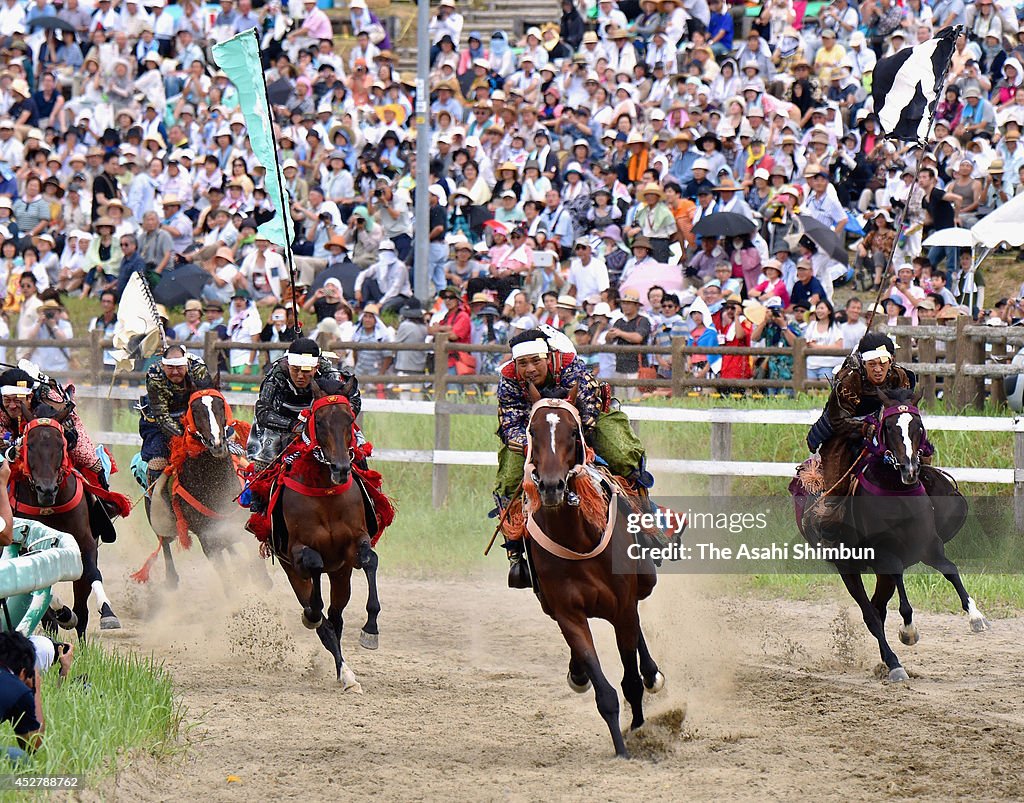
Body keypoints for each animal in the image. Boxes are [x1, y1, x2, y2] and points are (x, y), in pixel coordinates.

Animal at [10, 405, 119, 635]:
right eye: (29, 445)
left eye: (61, 444)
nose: (46, 489)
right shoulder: (26, 546)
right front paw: (62, 613)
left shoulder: (85, 542)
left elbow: (92, 573)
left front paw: (107, 613)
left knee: (81, 607)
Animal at [140, 385, 268, 585]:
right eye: (195, 412)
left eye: (221, 406)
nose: (217, 444)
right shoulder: (207, 538)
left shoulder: (239, 526)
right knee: (165, 543)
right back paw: (171, 580)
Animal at [274, 378, 382, 688]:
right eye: (319, 421)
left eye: (349, 419)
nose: (341, 468)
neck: (326, 493)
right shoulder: (297, 552)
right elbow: (312, 569)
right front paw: (311, 615)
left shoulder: (354, 544)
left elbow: (370, 560)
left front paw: (371, 629)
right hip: (292, 571)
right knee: (323, 619)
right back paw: (344, 672)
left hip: (341, 574)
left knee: (335, 616)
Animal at [520, 385, 663, 757]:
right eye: (532, 431)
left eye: (573, 432)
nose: (552, 486)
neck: (578, 537)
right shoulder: (569, 614)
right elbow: (605, 693)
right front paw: (621, 749)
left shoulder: (622, 607)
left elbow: (630, 681)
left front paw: (638, 732)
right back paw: (578, 672)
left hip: (643, 583)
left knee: (639, 633)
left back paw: (652, 674)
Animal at [794, 389, 987, 684]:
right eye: (889, 428)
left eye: (918, 426)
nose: (910, 469)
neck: (897, 493)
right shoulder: (886, 555)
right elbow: (903, 601)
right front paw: (908, 632)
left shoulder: (929, 546)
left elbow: (951, 571)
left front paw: (976, 617)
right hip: (848, 567)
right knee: (870, 615)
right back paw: (894, 664)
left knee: (878, 609)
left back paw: (886, 663)